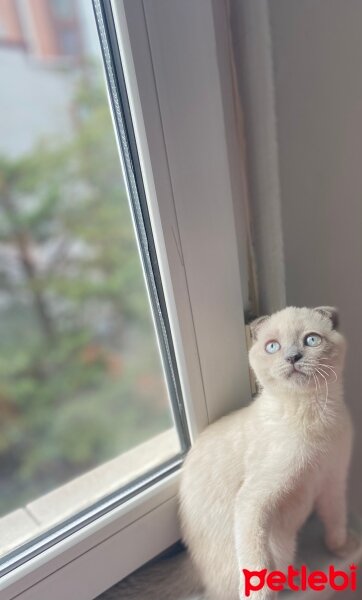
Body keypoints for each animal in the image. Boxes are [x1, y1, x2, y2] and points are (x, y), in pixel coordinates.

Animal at [180, 308, 354, 596]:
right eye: (272, 346)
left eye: (311, 340)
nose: (292, 357)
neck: (314, 413)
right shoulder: (254, 499)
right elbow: (255, 558)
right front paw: (259, 594)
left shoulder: (332, 482)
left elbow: (336, 521)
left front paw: (343, 548)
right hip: (278, 544)